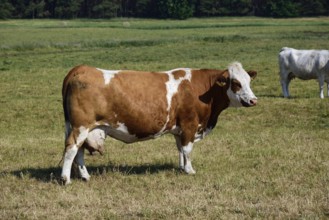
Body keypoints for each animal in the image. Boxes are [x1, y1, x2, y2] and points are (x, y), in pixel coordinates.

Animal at [60, 62, 256, 184]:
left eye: (249, 81)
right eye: (236, 83)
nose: (254, 100)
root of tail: (81, 68)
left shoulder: (179, 129)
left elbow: (180, 149)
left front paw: (182, 167)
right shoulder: (190, 125)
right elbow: (188, 149)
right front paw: (190, 170)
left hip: (81, 127)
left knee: (79, 151)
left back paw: (85, 176)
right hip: (80, 127)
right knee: (72, 148)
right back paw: (65, 179)